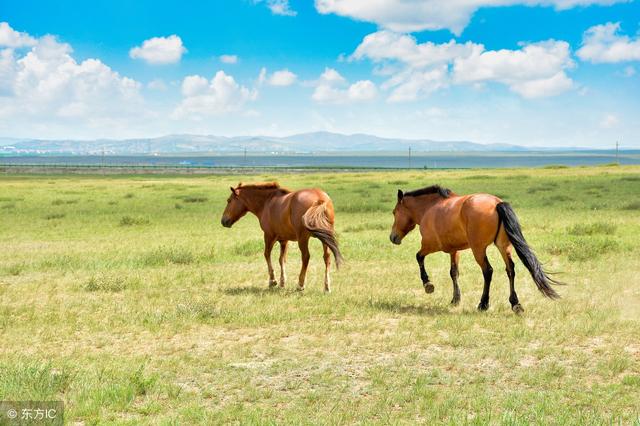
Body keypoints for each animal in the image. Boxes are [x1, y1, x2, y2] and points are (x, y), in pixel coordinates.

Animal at [388, 186, 556, 312]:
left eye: (394, 212)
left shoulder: (431, 245)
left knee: (488, 271)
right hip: (503, 246)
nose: (393, 237)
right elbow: (453, 273)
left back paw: (483, 304)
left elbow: (419, 257)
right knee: (510, 270)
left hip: (478, 250)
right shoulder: (454, 251)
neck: (430, 208)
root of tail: (497, 203)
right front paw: (455, 299)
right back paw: (515, 304)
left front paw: (428, 284)